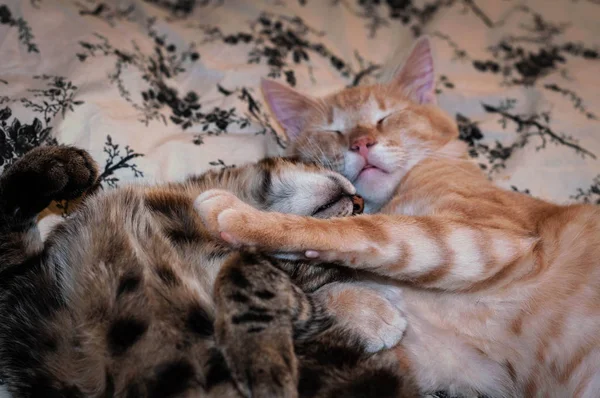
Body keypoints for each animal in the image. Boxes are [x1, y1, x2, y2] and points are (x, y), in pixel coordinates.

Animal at [197, 38, 600, 398]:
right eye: (334, 131)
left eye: (384, 118)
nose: (361, 143)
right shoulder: (432, 363)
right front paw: (360, 307)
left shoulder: (487, 240)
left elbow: (361, 231)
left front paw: (244, 215)